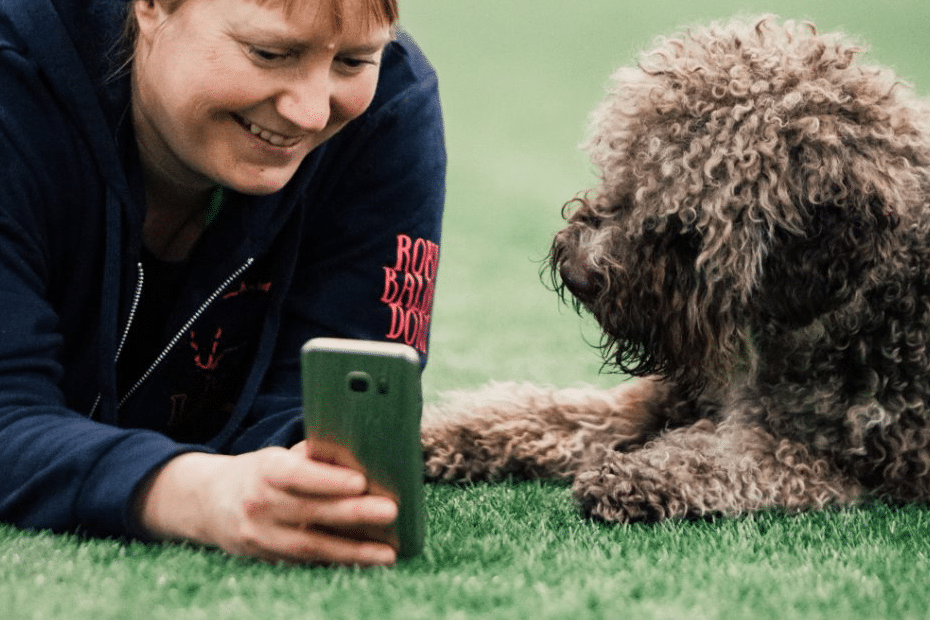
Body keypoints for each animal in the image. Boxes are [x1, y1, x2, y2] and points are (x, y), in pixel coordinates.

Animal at [424, 17, 928, 520]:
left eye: (690, 227)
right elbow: (552, 412)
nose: (577, 273)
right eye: (626, 174)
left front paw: (635, 476)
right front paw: (441, 432)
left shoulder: (836, 457)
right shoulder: (662, 397)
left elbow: (727, 460)